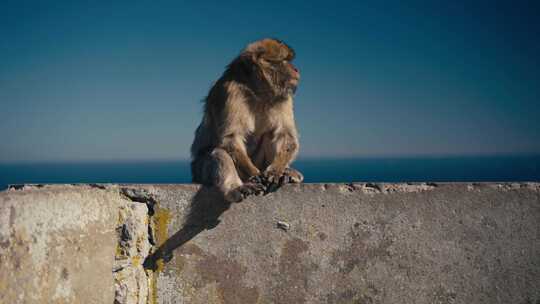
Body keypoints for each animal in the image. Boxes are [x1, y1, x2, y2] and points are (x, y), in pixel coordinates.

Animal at [191, 38, 304, 202]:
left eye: (289, 60)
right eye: (284, 60)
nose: (296, 69)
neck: (258, 91)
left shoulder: (284, 97)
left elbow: (286, 135)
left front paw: (276, 171)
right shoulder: (230, 91)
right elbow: (231, 137)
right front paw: (254, 174)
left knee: (270, 134)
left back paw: (287, 173)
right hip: (199, 170)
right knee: (219, 152)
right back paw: (237, 188)